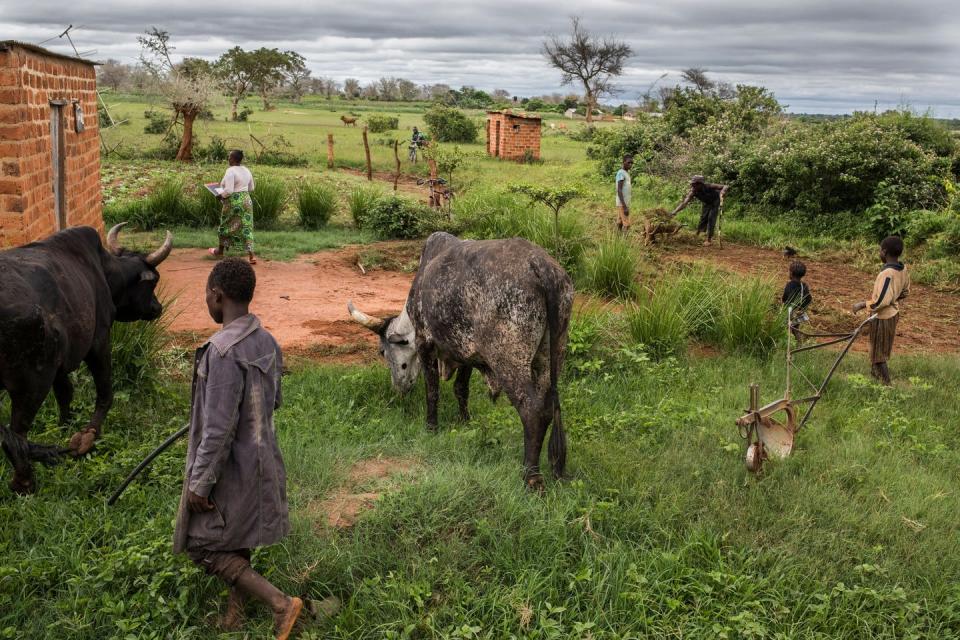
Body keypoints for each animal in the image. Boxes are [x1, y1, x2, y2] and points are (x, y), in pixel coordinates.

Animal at [0, 222, 172, 492]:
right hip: (32, 383)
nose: (157, 308)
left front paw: (65, 426)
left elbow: (65, 394)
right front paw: (89, 435)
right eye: (153, 282)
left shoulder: (59, 364)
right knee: (15, 436)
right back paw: (24, 481)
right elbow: (105, 392)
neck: (104, 270)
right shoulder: (99, 341)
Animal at [348, 232, 572, 488]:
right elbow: (461, 389)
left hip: (509, 360)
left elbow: (432, 390)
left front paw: (431, 427)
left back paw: (531, 477)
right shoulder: (467, 354)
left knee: (533, 411)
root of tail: (540, 266)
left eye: (383, 352)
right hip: (551, 356)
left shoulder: (425, 342)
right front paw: (465, 422)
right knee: (550, 405)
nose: (398, 387)